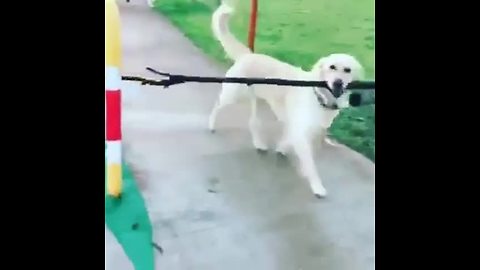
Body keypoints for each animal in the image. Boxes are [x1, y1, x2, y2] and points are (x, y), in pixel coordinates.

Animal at [209, 2, 364, 198]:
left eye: (347, 70)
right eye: (332, 67)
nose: (338, 82)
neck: (318, 94)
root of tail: (248, 54)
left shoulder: (303, 128)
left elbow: (288, 139)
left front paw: (282, 149)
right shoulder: (301, 130)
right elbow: (310, 163)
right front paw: (317, 186)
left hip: (261, 102)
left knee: (253, 123)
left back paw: (259, 144)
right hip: (232, 95)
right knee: (217, 106)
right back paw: (211, 124)